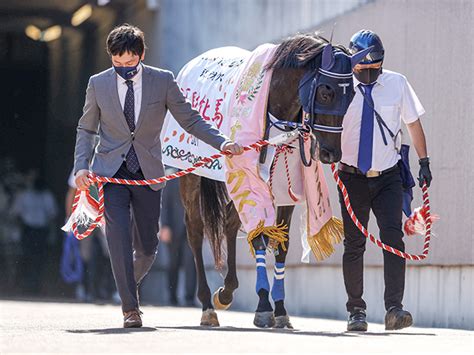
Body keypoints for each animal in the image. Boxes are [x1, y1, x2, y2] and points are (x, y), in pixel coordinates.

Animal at [177, 33, 370, 328]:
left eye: (351, 97)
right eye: (326, 91)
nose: (331, 153)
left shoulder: (285, 185)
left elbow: (281, 244)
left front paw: (280, 309)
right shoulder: (250, 177)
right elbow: (259, 235)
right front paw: (264, 306)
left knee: (230, 223)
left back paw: (227, 290)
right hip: (192, 173)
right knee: (195, 230)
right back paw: (207, 305)